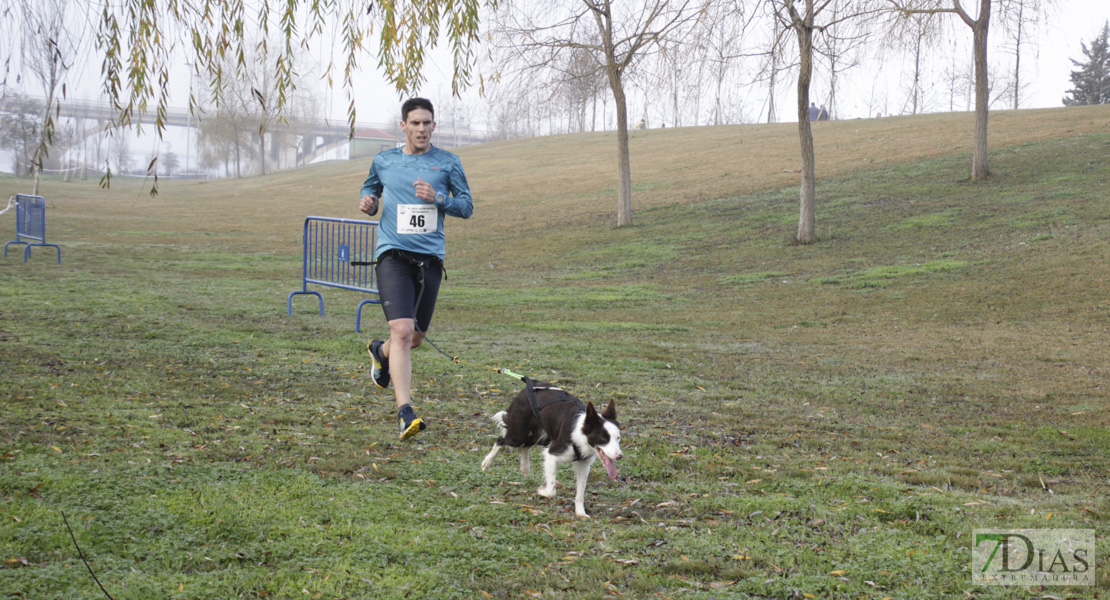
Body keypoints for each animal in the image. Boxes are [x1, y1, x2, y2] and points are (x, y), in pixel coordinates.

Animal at [479, 379, 626, 514]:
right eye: (603, 439)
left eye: (618, 438)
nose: (619, 456)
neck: (581, 434)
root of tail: (528, 386)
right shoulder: (552, 454)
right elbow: (552, 491)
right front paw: (542, 491)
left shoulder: (583, 464)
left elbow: (580, 492)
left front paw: (580, 513)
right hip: (518, 434)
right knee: (501, 441)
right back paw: (487, 462)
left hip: (540, 433)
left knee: (526, 445)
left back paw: (525, 467)